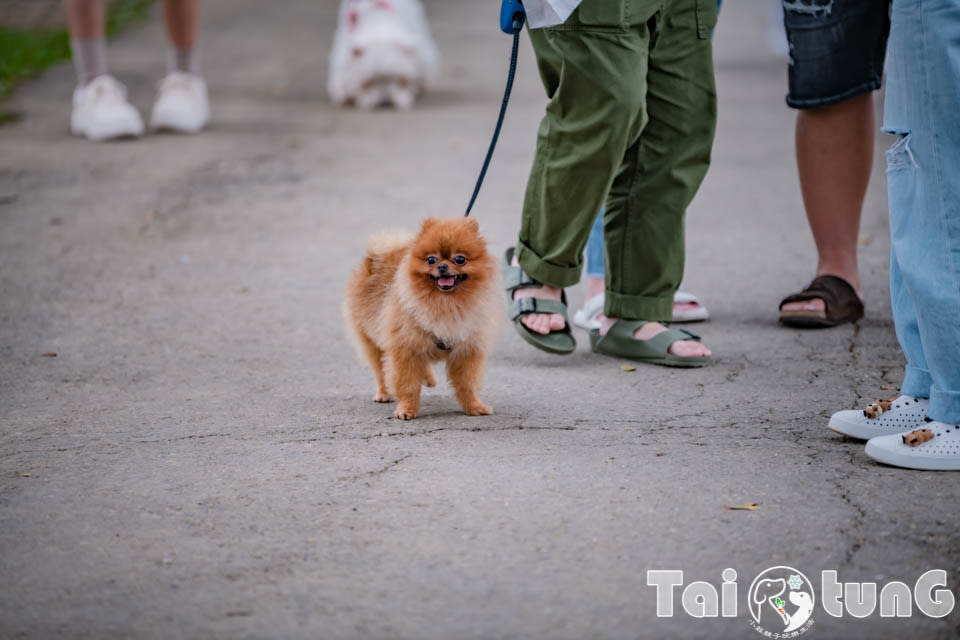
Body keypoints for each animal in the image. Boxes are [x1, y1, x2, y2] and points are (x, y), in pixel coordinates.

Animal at [344, 218, 502, 420]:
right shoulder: (405, 349)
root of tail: (376, 256)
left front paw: (474, 407)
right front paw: (406, 409)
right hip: (371, 338)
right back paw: (384, 393)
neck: (446, 303)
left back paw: (428, 379)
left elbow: (467, 384)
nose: (442, 266)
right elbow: (408, 384)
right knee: (380, 369)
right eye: (431, 260)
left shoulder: (466, 351)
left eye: (460, 259)